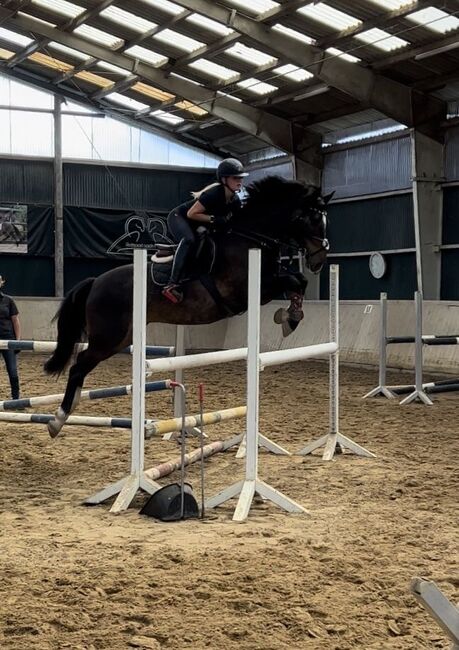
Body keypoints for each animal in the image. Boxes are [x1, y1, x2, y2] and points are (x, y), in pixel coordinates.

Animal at [45, 175, 332, 436]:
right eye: (313, 219)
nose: (320, 260)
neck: (248, 238)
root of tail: (95, 282)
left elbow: (300, 281)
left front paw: (291, 316)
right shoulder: (247, 291)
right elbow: (294, 280)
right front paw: (288, 318)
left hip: (122, 337)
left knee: (81, 364)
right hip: (109, 337)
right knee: (78, 364)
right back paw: (58, 419)